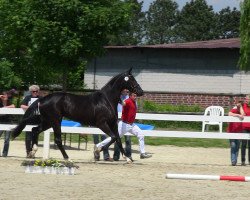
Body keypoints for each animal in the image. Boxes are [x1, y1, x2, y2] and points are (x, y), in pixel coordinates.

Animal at [11, 68, 144, 162]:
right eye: (131, 79)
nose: (141, 92)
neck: (107, 100)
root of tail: (42, 99)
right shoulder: (101, 123)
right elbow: (113, 137)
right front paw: (97, 151)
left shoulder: (113, 124)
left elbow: (118, 139)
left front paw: (128, 158)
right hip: (55, 121)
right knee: (57, 139)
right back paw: (67, 158)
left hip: (47, 121)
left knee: (34, 130)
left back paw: (32, 152)